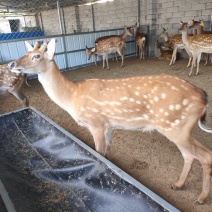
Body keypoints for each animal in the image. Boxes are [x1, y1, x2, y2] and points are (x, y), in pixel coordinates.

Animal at [9, 39, 212, 205]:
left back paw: (201, 198)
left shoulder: (96, 123)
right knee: (190, 155)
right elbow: (106, 153)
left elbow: (98, 153)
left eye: (36, 55)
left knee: (204, 156)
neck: (73, 96)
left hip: (175, 126)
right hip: (181, 128)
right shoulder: (108, 126)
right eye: (26, 52)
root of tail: (203, 97)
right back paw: (177, 184)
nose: (12, 64)